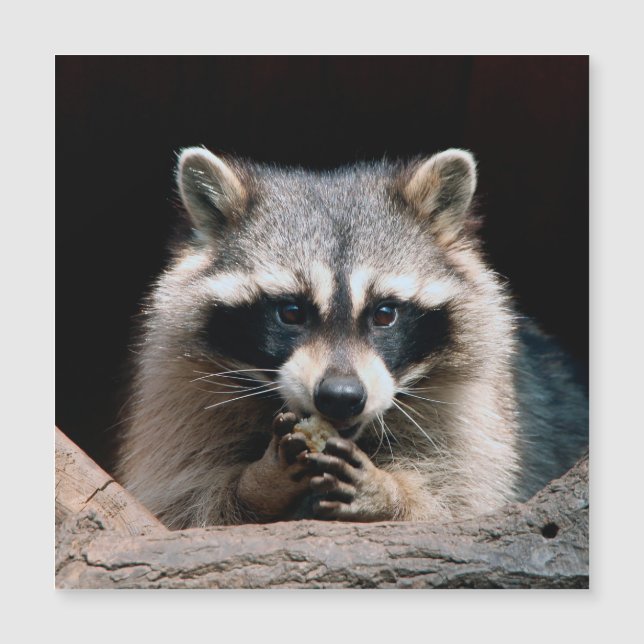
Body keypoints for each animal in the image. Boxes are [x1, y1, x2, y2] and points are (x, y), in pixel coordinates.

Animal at [115, 147, 588, 528]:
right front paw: (256, 484)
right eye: (291, 312)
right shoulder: (181, 396)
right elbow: (182, 502)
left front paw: (391, 493)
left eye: (385, 314)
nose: (340, 396)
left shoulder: (478, 412)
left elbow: (463, 502)